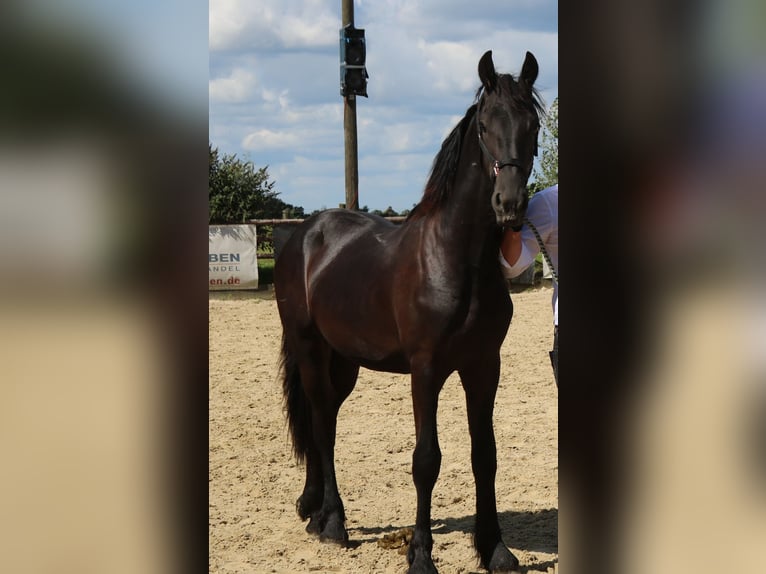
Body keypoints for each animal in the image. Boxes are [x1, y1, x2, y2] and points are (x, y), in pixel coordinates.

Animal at [276, 51, 544, 572]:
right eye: (485, 125)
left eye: (534, 124)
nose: (509, 205)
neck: (455, 259)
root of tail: (304, 234)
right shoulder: (426, 370)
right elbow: (427, 460)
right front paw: (420, 553)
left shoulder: (484, 367)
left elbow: (485, 455)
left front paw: (495, 549)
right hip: (310, 349)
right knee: (321, 424)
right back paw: (333, 523)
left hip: (345, 362)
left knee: (325, 420)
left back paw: (313, 510)